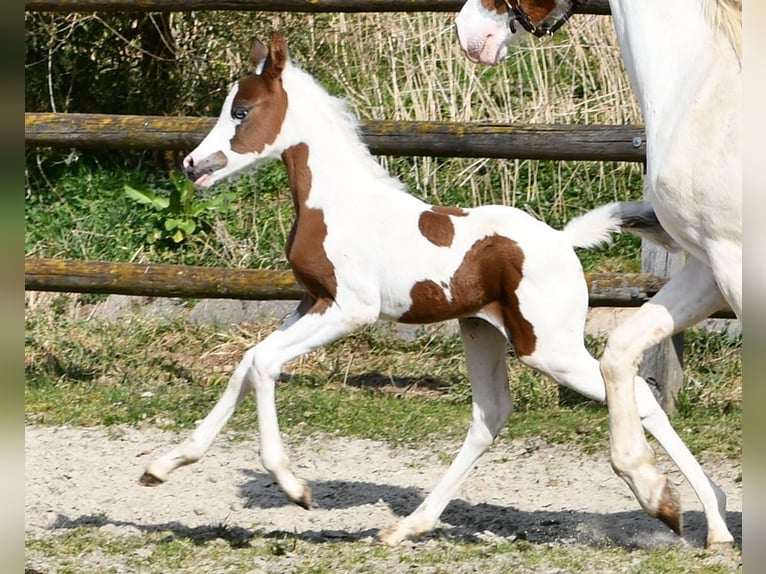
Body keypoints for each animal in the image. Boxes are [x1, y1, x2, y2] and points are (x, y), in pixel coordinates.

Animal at [140, 32, 709, 547]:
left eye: (241, 111)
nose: (192, 165)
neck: (337, 202)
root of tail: (562, 240)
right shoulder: (310, 301)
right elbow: (248, 361)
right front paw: (162, 466)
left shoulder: (349, 309)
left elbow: (262, 364)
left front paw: (294, 487)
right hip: (482, 329)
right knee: (491, 416)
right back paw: (407, 527)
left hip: (549, 347)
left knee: (635, 392)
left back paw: (682, 509)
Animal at [455, 0, 742, 548]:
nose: (468, 33)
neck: (705, 82)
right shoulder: (712, 265)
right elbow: (619, 353)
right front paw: (657, 495)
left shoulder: (736, 264)